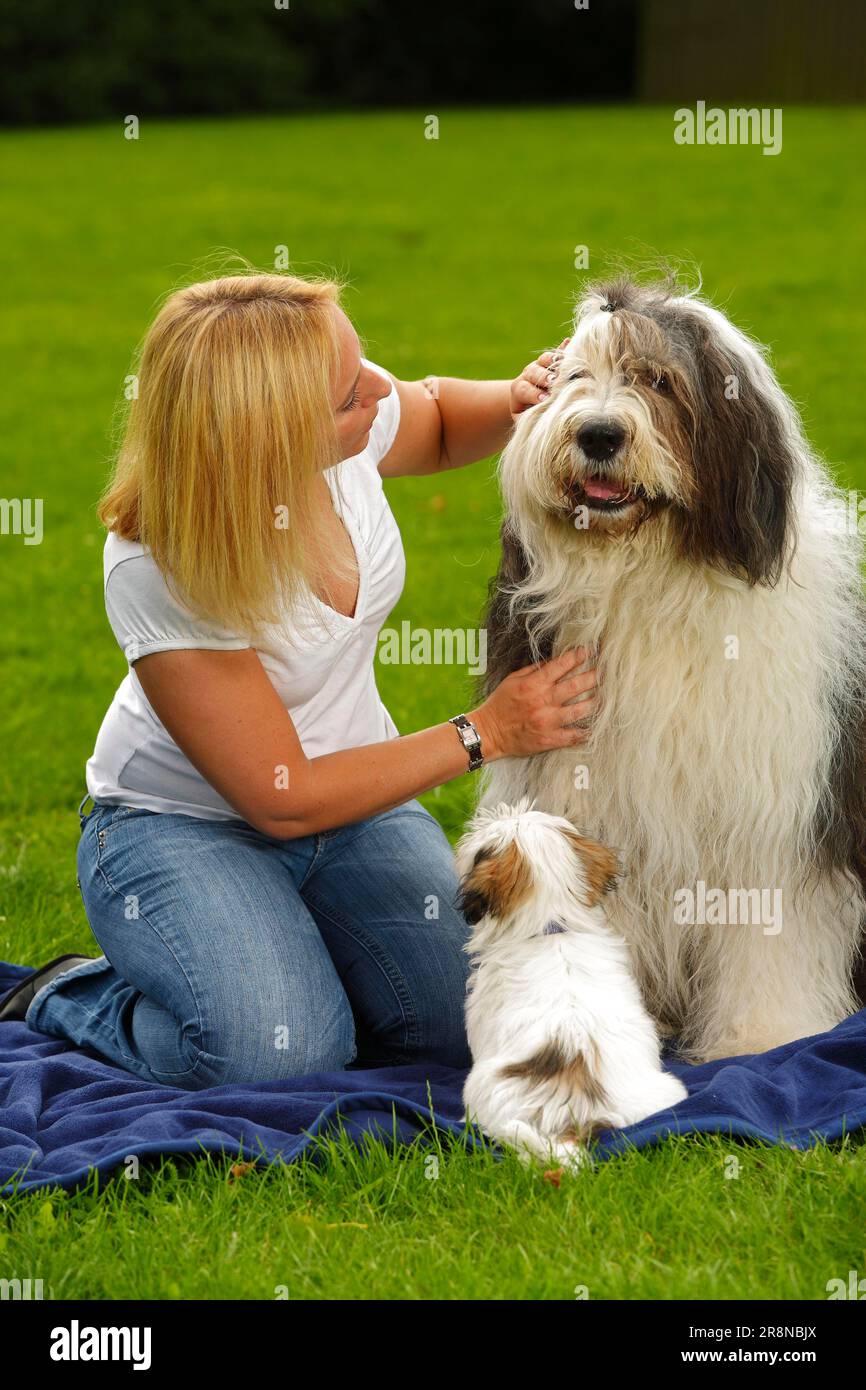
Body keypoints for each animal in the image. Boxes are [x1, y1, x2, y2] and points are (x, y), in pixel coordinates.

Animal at [480, 273, 866, 1061]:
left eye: (658, 380)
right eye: (575, 376)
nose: (599, 434)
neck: (647, 579)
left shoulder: (772, 821)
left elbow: (768, 927)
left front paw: (760, 1039)